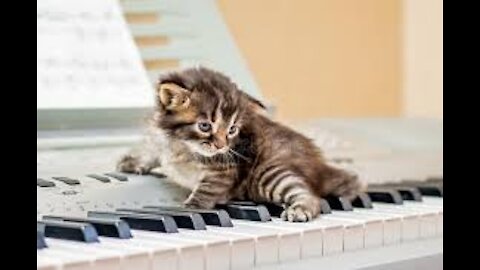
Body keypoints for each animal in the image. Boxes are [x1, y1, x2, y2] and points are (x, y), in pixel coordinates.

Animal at [117, 67, 364, 221]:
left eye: (232, 130)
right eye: (205, 126)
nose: (221, 146)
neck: (183, 145)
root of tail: (319, 165)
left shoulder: (224, 171)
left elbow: (206, 191)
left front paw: (190, 208)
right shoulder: (159, 137)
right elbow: (152, 150)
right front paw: (132, 162)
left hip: (270, 174)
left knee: (309, 194)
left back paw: (301, 209)